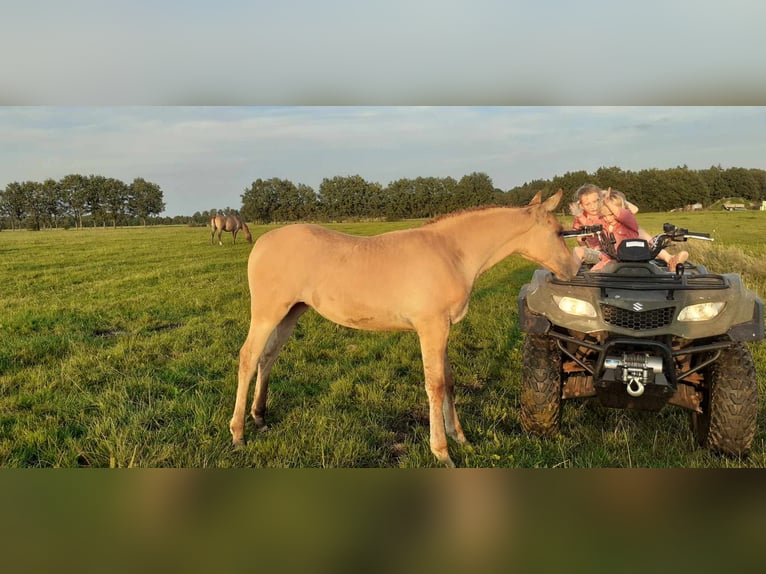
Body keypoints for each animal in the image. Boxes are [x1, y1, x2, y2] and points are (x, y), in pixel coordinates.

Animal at [231, 191, 580, 470]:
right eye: (558, 231)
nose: (573, 270)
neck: (451, 253)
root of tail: (261, 243)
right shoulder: (431, 328)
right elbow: (434, 385)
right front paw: (442, 452)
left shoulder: (443, 329)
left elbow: (448, 382)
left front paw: (461, 438)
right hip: (267, 313)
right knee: (248, 357)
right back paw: (238, 433)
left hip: (291, 312)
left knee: (268, 357)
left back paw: (259, 417)